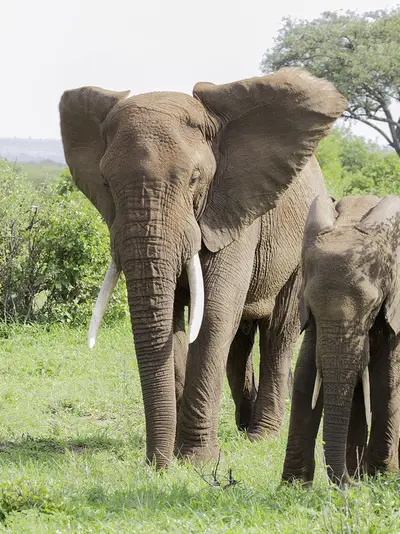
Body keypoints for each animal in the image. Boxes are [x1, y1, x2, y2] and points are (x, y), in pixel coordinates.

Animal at [59, 68, 346, 468]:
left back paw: (259, 436)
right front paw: (180, 456)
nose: (155, 465)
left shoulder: (231, 210)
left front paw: (196, 461)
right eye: (106, 182)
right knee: (239, 345)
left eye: (195, 178)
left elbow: (211, 315)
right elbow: (174, 323)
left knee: (278, 333)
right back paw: (243, 427)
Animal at [282, 195, 400, 488]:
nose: (352, 483)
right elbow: (305, 377)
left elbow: (386, 378)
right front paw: (293, 486)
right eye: (310, 305)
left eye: (373, 307)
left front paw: (381, 479)